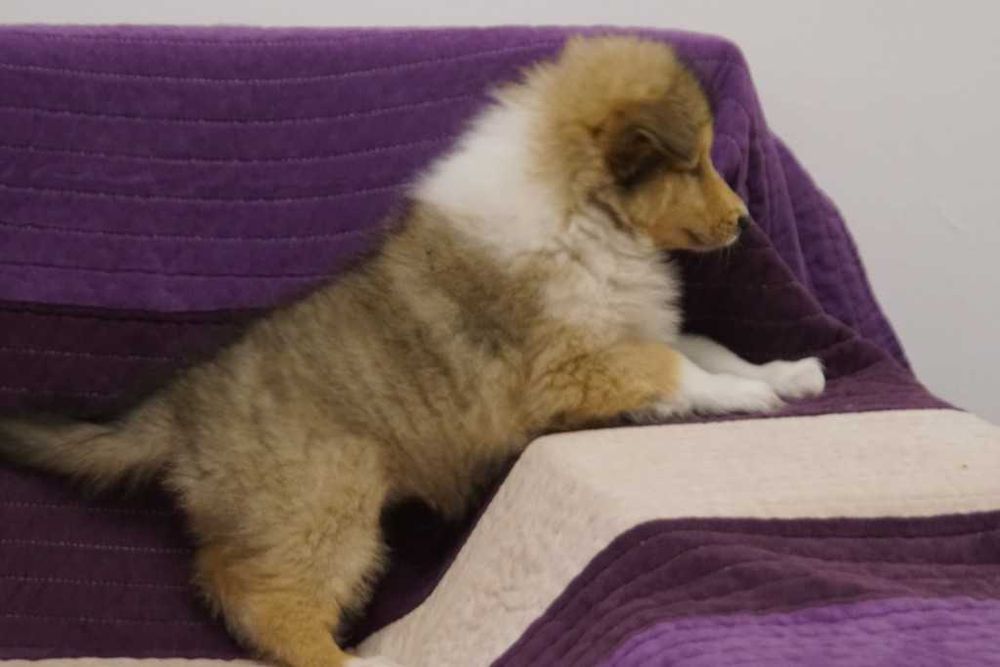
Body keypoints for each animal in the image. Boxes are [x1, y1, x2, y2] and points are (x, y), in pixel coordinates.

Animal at [0, 35, 823, 666]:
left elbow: (709, 344)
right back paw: (345, 658)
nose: (746, 220)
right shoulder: (572, 363)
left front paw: (787, 374)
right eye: (693, 163)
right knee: (256, 593)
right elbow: (678, 365)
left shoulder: (627, 326)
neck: (584, 212)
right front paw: (753, 395)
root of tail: (177, 410)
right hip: (326, 500)